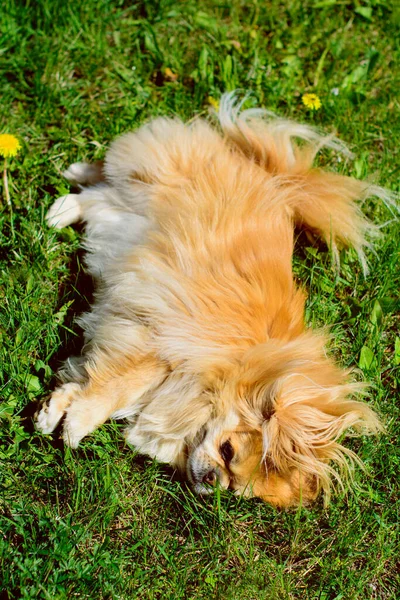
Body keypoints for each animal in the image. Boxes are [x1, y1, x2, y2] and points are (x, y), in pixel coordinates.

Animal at [36, 95, 392, 506]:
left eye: (238, 491)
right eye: (227, 451)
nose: (213, 482)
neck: (233, 368)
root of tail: (277, 178)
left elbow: (87, 380)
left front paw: (53, 413)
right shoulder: (156, 341)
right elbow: (111, 388)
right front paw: (76, 426)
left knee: (100, 194)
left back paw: (70, 192)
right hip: (152, 181)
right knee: (108, 182)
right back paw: (67, 196)